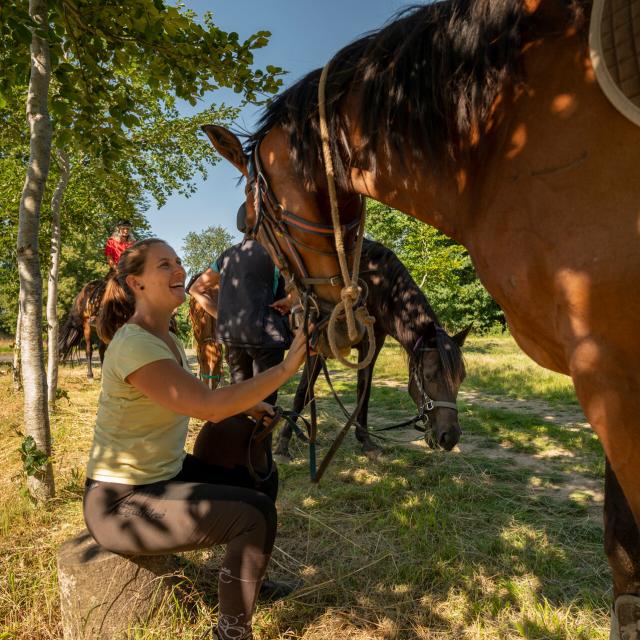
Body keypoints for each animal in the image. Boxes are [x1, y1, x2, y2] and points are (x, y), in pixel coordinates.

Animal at [202, 0, 640, 632]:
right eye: (431, 375)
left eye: (459, 376)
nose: (450, 436)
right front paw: (296, 440)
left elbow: (361, 390)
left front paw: (363, 440)